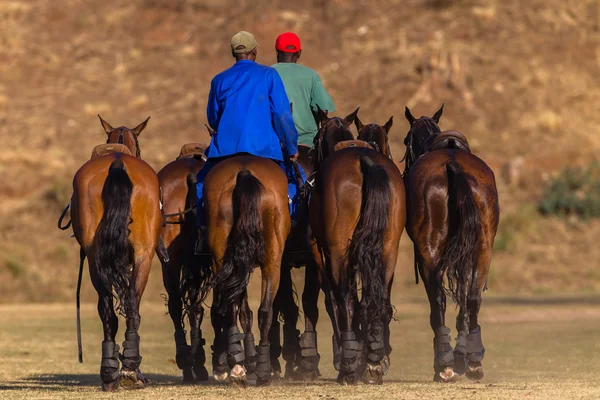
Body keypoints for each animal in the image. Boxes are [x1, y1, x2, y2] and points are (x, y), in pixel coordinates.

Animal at [69, 115, 162, 390]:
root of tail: (118, 163)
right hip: (143, 256)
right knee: (131, 307)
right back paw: (129, 370)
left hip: (97, 259)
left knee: (108, 311)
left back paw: (112, 372)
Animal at [404, 104, 502, 382]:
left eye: (405, 141)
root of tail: (452, 164)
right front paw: (464, 356)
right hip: (484, 246)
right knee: (473, 297)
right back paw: (473, 363)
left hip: (429, 252)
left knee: (438, 301)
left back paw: (444, 365)